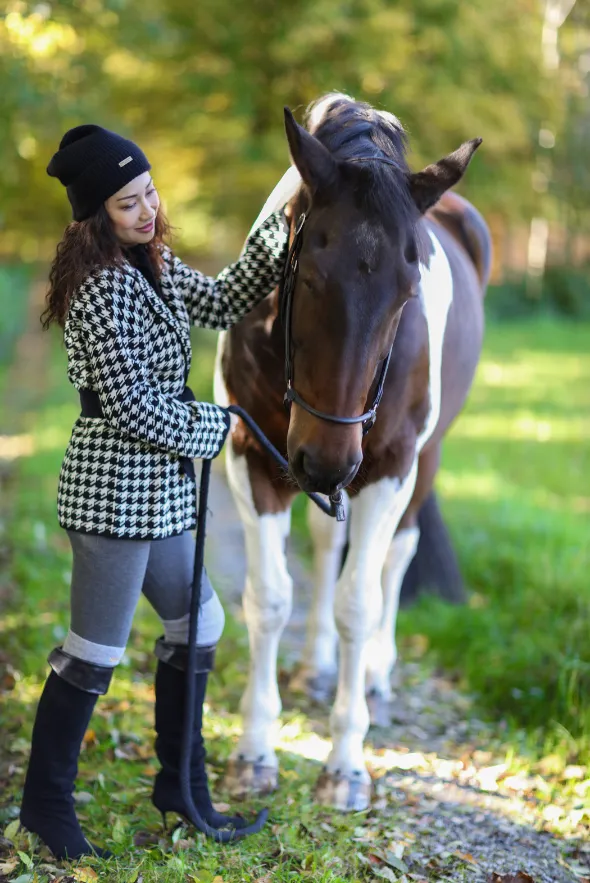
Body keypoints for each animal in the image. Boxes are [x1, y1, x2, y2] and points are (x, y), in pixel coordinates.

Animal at [215, 93, 492, 812]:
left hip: (421, 464)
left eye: (408, 290)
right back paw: (316, 666)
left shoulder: (387, 470)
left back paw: (373, 674)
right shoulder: (250, 454)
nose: (327, 461)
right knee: (322, 545)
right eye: (308, 274)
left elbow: (358, 604)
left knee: (396, 558)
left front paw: (344, 765)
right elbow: (270, 597)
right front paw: (254, 751)